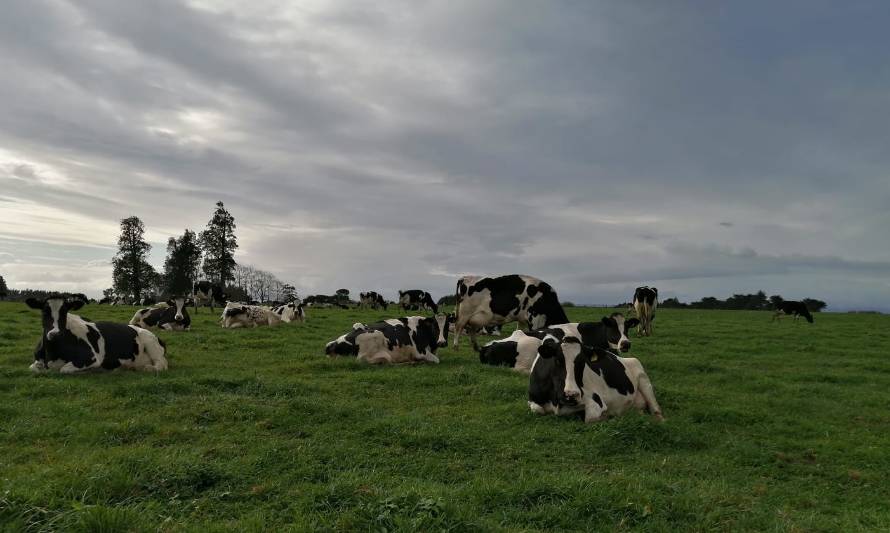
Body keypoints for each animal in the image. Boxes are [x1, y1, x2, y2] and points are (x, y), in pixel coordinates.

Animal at [25, 296, 167, 374]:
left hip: (151, 344)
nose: (55, 334)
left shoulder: (91, 358)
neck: (52, 353)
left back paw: (148, 368)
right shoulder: (37, 361)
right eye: (44, 311)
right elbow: (32, 367)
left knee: (161, 365)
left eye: (65, 312)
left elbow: (64, 369)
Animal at [524, 332, 664, 424]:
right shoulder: (533, 399)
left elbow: (590, 417)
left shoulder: (596, 401)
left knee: (656, 409)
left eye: (583, 362)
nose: (571, 395)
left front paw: (606, 416)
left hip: (644, 380)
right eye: (557, 360)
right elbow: (538, 410)